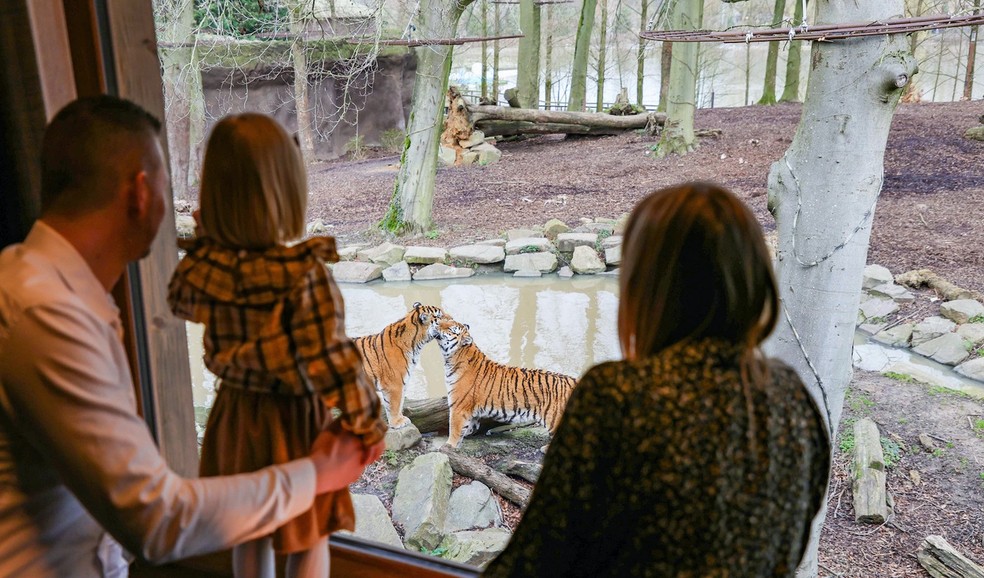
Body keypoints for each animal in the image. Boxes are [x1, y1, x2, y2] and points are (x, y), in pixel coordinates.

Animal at [432, 318, 576, 448]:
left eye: (451, 329)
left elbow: (454, 429)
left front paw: (449, 446)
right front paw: (466, 434)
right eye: (446, 321)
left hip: (555, 419)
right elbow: (471, 424)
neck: (452, 358)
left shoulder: (458, 407)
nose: (436, 323)